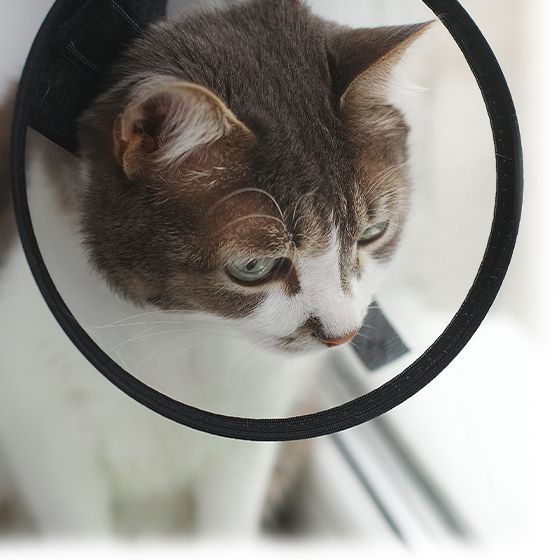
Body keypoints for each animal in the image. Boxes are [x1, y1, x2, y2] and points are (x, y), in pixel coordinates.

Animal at [0, 0, 428, 532]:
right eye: (254, 265)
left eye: (373, 232)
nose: (341, 334)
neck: (189, 330)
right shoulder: (42, 419)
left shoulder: (258, 421)